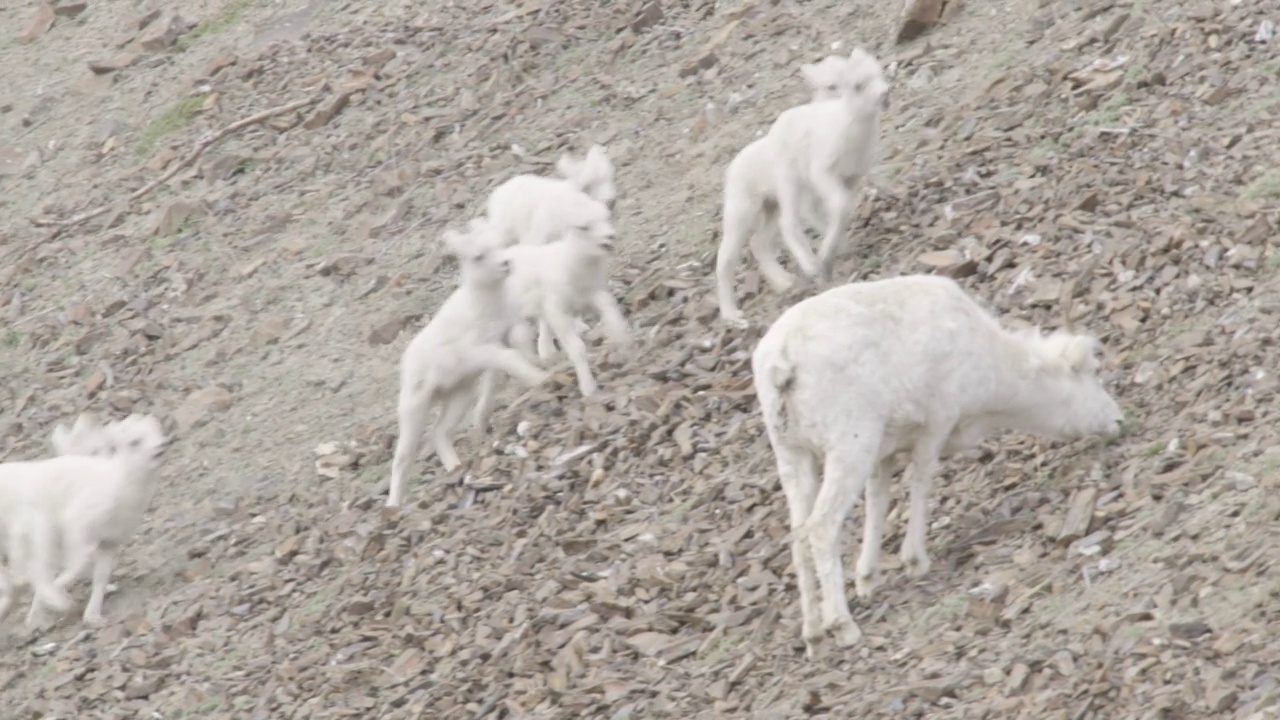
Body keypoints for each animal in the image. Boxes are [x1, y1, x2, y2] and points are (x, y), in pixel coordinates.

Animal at [0, 412, 167, 625]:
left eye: (157, 431)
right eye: (134, 441)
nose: (161, 446)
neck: (117, 485)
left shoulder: (108, 544)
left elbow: (100, 577)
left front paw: (93, 616)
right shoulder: (78, 529)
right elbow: (80, 565)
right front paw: (61, 598)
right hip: (40, 531)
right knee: (38, 571)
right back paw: (53, 604)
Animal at [381, 219, 547, 504]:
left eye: (500, 244)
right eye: (478, 256)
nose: (506, 263)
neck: (485, 304)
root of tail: (406, 362)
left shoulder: (508, 331)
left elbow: (521, 344)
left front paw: (543, 364)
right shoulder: (478, 350)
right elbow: (508, 358)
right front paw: (540, 378)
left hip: (460, 395)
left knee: (439, 433)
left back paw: (456, 470)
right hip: (415, 406)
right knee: (403, 456)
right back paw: (394, 504)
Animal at [711, 46, 890, 324]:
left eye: (879, 73)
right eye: (832, 85)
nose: (885, 94)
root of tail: (730, 171)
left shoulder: (850, 178)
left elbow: (840, 211)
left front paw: (838, 248)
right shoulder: (819, 178)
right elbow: (834, 210)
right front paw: (826, 256)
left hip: (771, 208)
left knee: (760, 243)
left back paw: (785, 282)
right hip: (753, 205)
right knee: (731, 255)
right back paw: (734, 312)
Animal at [752, 271, 1126, 653]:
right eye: (1093, 372)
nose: (1118, 421)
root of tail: (782, 363)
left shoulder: (884, 449)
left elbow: (878, 501)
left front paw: (867, 579)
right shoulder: (937, 422)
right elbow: (921, 481)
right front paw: (915, 561)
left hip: (793, 455)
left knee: (798, 534)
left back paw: (813, 634)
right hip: (848, 445)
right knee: (821, 527)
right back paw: (843, 626)